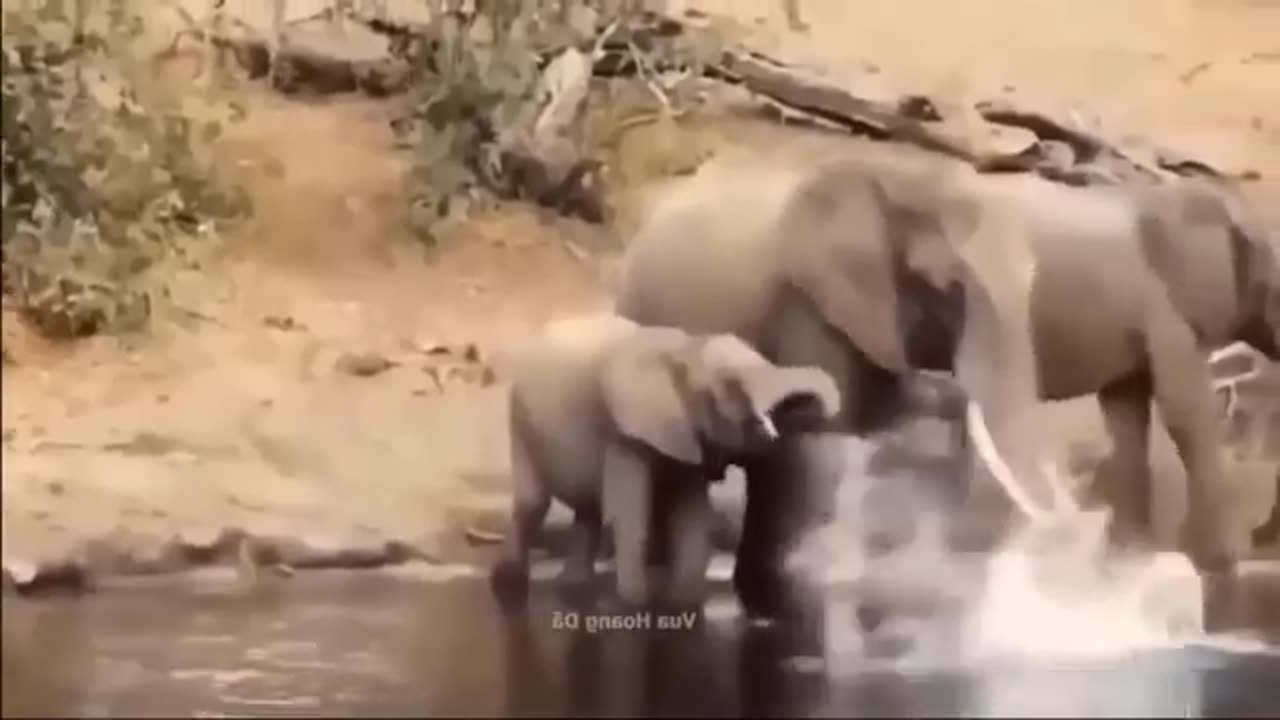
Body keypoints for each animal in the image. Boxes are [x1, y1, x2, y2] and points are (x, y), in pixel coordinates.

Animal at [488, 312, 839, 604]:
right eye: (729, 386)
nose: (828, 413)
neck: (685, 350)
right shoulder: (625, 430)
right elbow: (630, 514)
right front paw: (635, 605)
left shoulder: (685, 432)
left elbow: (691, 516)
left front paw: (684, 602)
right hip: (518, 416)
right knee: (533, 503)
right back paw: (508, 587)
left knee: (587, 514)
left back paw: (574, 587)